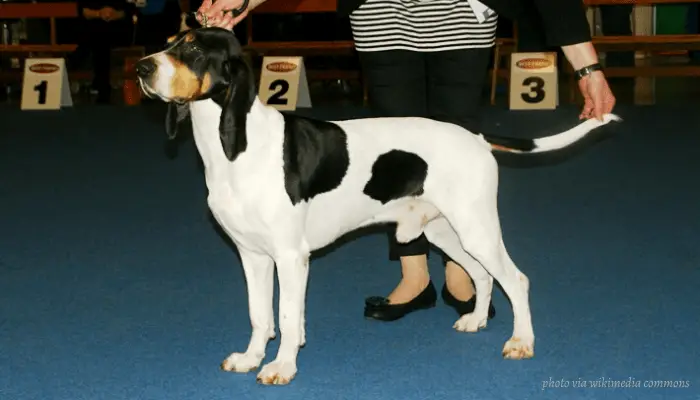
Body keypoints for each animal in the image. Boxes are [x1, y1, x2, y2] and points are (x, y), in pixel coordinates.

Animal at [134, 27, 620, 384]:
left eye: (193, 48)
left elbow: (288, 317)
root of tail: (476, 137)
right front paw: (251, 358)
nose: (141, 66)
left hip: (476, 226)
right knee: (482, 275)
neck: (237, 147)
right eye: (172, 40)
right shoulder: (253, 255)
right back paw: (476, 320)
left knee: (515, 280)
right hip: (446, 231)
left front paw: (282, 366)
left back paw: (522, 342)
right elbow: (260, 315)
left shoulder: (291, 257)